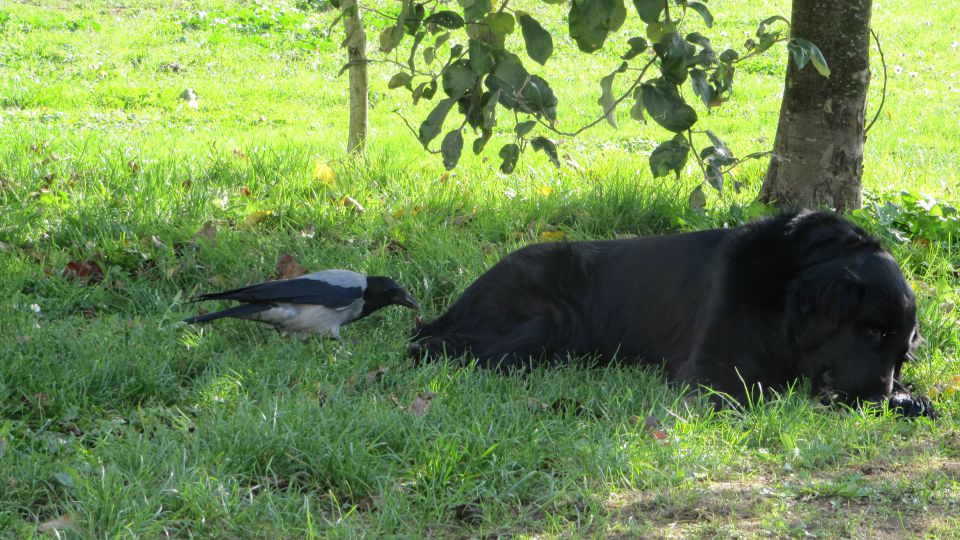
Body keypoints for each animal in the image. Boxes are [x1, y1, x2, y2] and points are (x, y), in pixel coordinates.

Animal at [414, 209, 936, 416]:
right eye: (870, 331)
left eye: (901, 355)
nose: (878, 400)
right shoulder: (707, 375)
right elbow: (761, 393)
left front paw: (911, 399)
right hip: (553, 319)